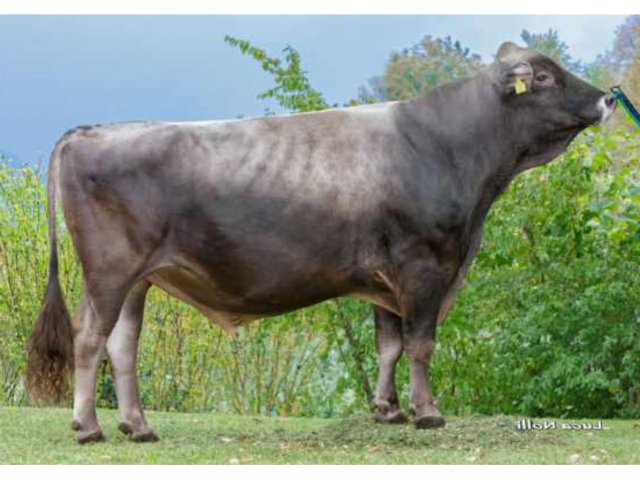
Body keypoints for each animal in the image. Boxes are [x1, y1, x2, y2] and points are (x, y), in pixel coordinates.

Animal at [26, 42, 616, 443]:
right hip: (109, 269)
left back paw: (138, 425)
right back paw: (88, 426)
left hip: (140, 278)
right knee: (89, 338)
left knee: (122, 344)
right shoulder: (424, 267)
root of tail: (90, 131)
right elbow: (421, 344)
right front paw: (427, 413)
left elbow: (389, 346)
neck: (451, 149)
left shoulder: (387, 278)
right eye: (545, 76)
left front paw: (387, 410)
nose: (608, 98)